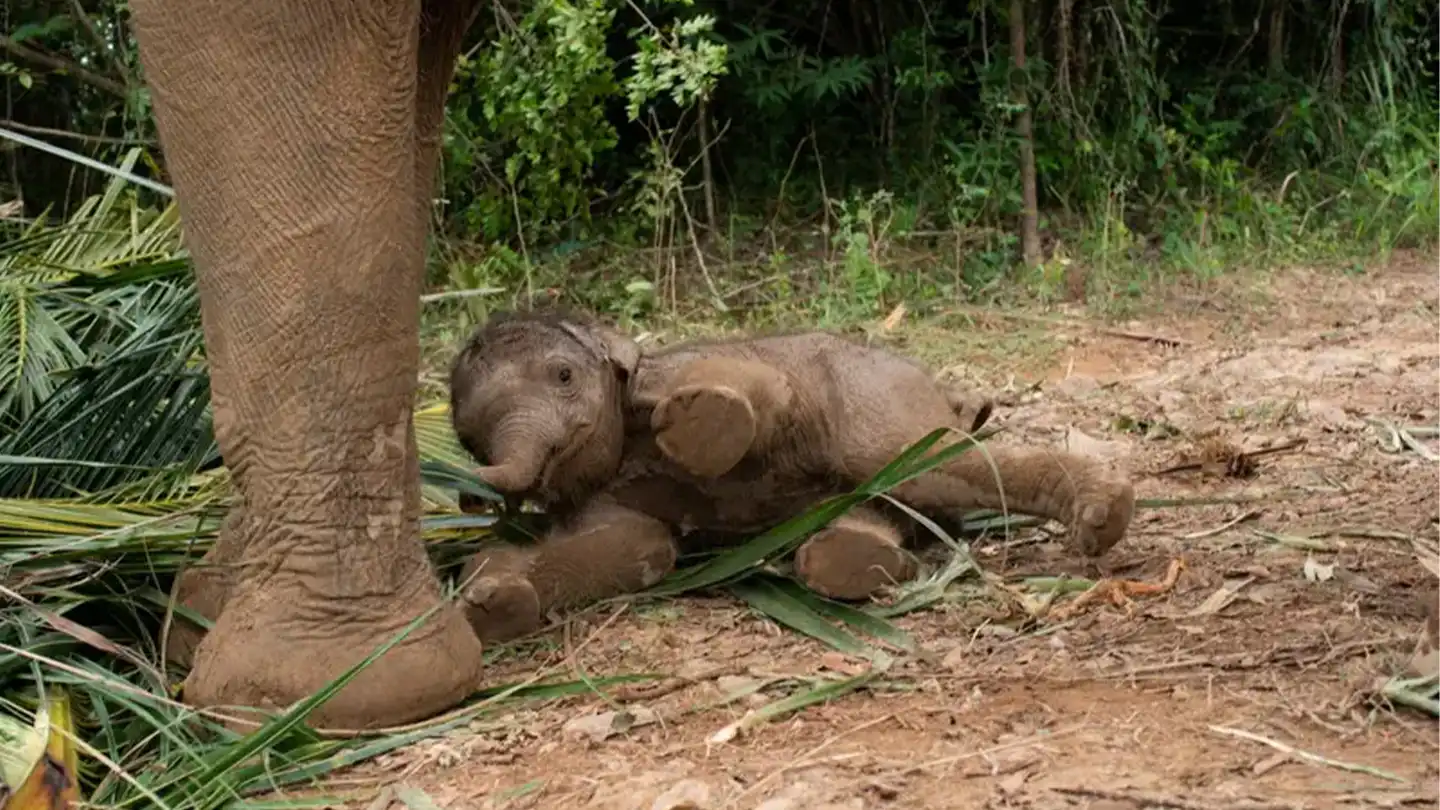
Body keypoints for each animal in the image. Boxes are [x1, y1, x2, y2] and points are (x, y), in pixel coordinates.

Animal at [447, 309, 1136, 643]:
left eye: (564, 376)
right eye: (468, 434)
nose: (467, 491)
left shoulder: (697, 366)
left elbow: (766, 392)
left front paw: (699, 420)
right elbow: (638, 546)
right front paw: (489, 599)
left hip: (880, 401)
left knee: (921, 463)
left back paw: (1104, 516)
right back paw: (854, 561)